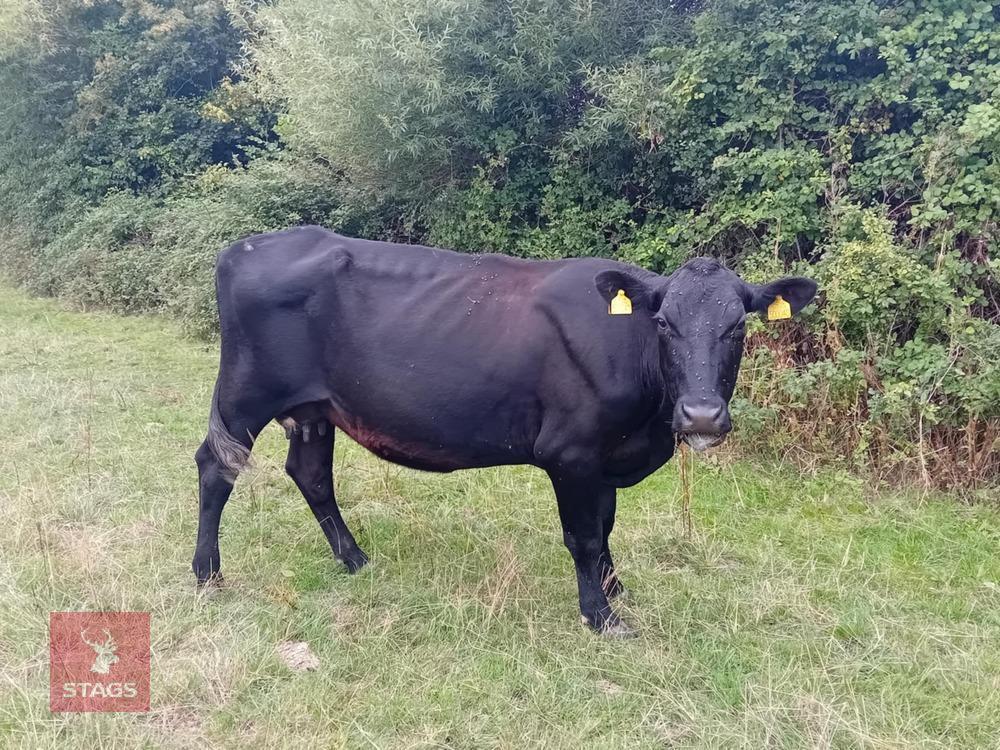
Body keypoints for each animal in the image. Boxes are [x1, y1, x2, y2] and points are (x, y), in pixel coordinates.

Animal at [194, 226, 817, 637]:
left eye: (738, 327)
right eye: (664, 324)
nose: (701, 416)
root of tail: (247, 245)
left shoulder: (604, 456)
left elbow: (606, 528)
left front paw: (615, 589)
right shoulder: (571, 452)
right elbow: (584, 536)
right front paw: (601, 617)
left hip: (314, 408)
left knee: (310, 474)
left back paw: (355, 559)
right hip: (244, 395)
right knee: (216, 467)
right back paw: (208, 574)